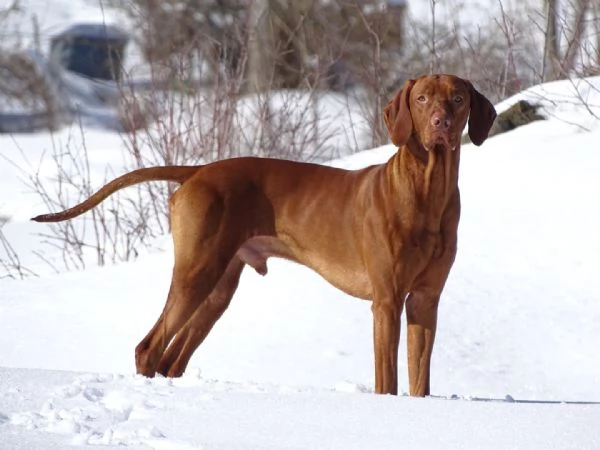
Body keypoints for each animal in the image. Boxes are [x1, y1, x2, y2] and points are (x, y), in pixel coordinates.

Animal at [31, 74, 496, 398]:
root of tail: (198, 170)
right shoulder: (386, 301)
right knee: (149, 348)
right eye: (421, 99)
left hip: (219, 289)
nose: (441, 123)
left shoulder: (425, 301)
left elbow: (420, 382)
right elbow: (388, 381)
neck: (426, 192)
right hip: (197, 273)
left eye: (457, 98)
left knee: (171, 360)